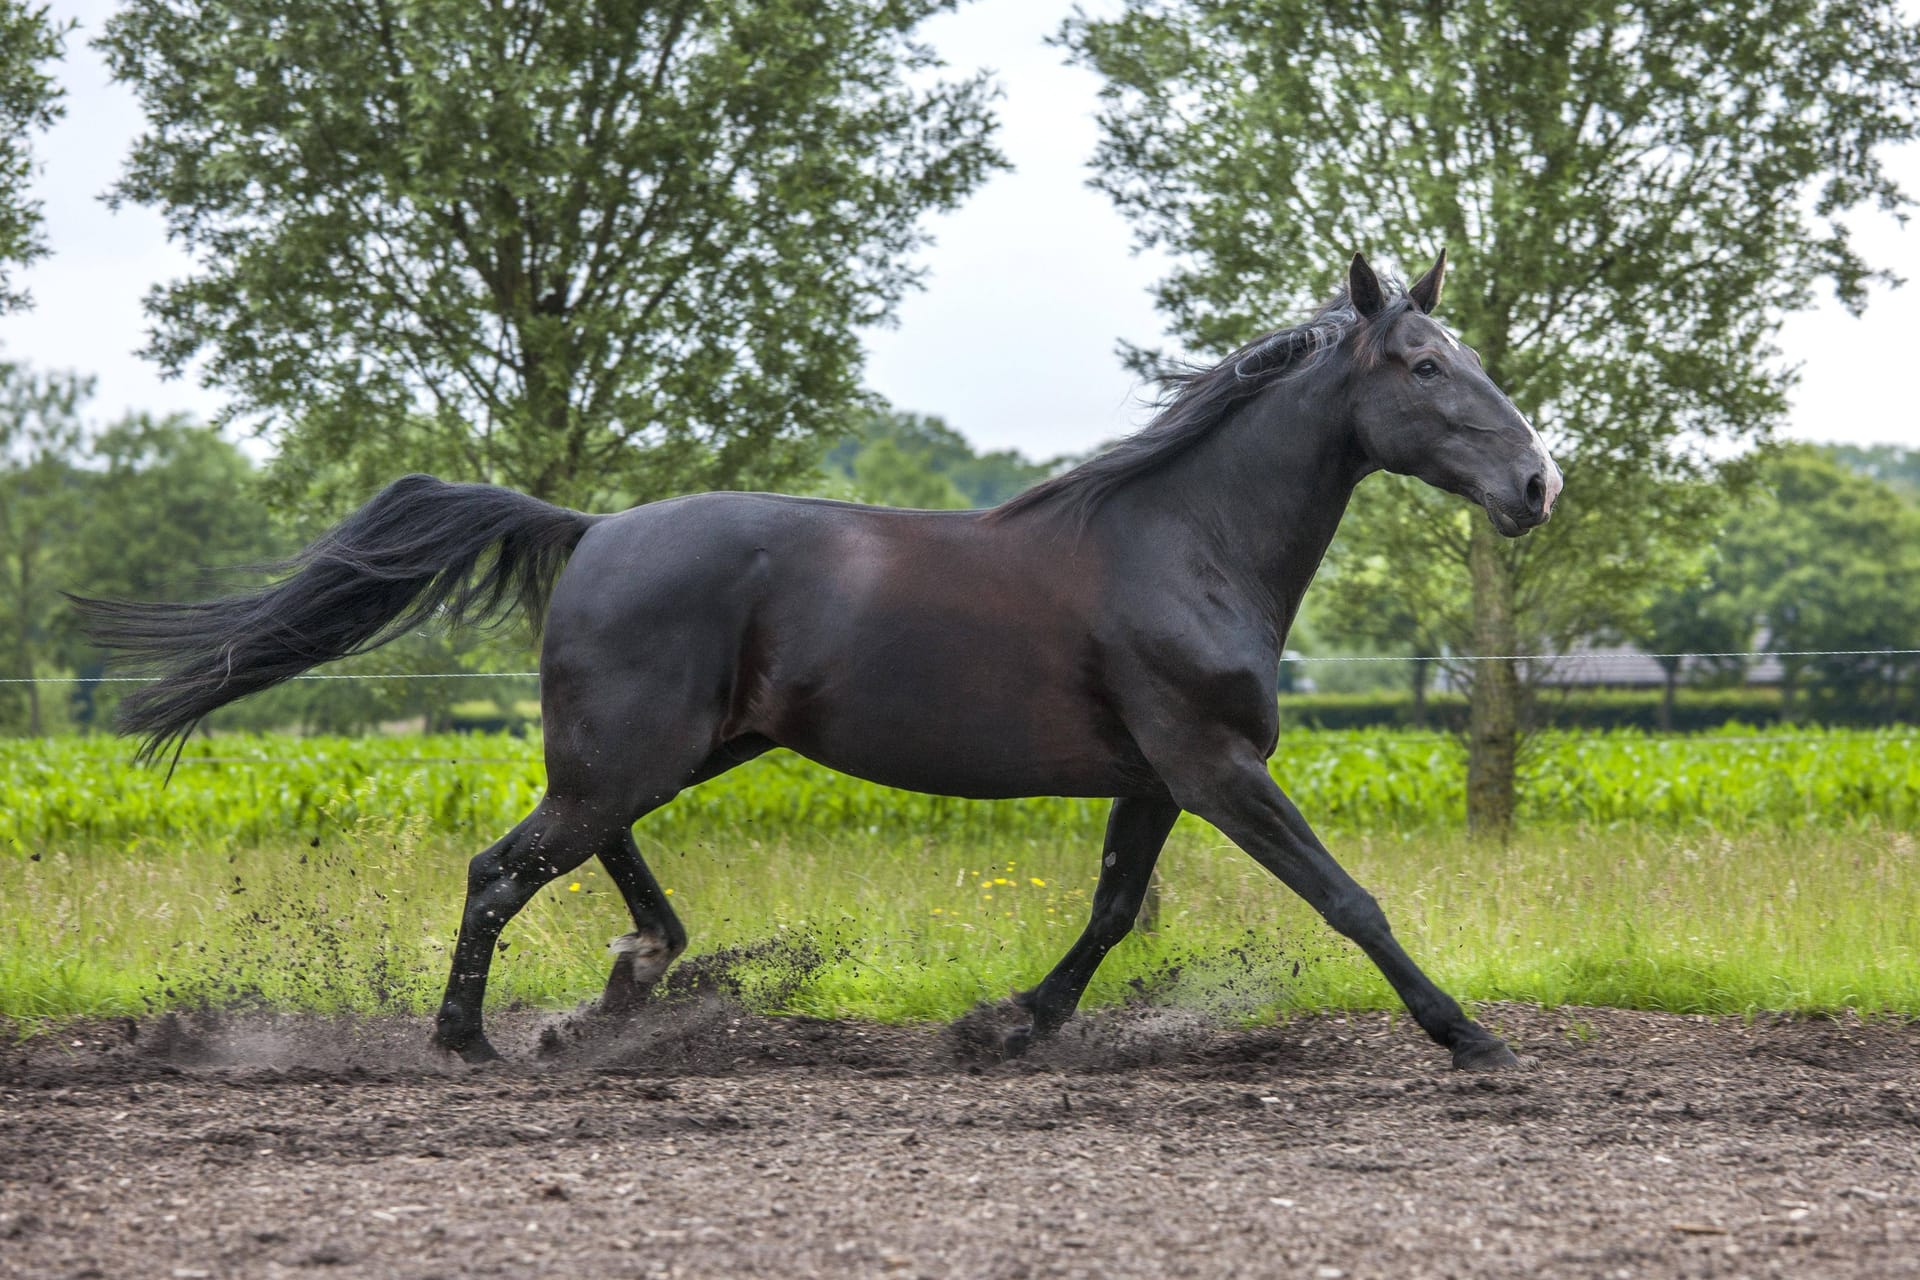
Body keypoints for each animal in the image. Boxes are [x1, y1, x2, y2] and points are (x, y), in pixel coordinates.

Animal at [78, 253, 1559, 1074]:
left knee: (580, 855)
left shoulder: (1159, 777)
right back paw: (473, 1038)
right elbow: (1348, 900)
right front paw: (1471, 1035)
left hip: (675, 748)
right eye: (1421, 364)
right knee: (503, 866)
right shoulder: (1215, 765)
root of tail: (591, 526)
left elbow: (1109, 914)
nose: (1537, 483)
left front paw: (1004, 1025)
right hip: (641, 751)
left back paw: (629, 980)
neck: (1183, 541)